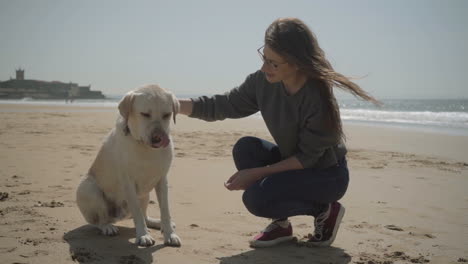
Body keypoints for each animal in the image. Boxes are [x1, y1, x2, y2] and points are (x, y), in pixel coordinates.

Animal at [76, 84, 180, 248]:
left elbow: (165, 210)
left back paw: (156, 223)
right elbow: (137, 212)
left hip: (145, 194)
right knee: (100, 220)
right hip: (88, 188)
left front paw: (170, 234)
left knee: (145, 216)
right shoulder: (128, 183)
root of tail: (118, 215)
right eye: (144, 114)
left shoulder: (162, 180)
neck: (145, 148)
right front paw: (143, 235)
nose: (158, 138)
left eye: (167, 115)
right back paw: (108, 227)